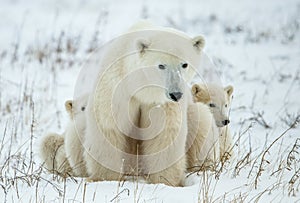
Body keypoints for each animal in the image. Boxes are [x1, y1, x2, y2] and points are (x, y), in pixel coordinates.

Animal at [83, 21, 205, 186]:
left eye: (184, 64)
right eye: (161, 65)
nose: (175, 94)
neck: (143, 90)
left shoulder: (162, 104)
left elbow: (163, 135)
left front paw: (164, 181)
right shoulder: (117, 89)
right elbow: (109, 127)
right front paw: (106, 178)